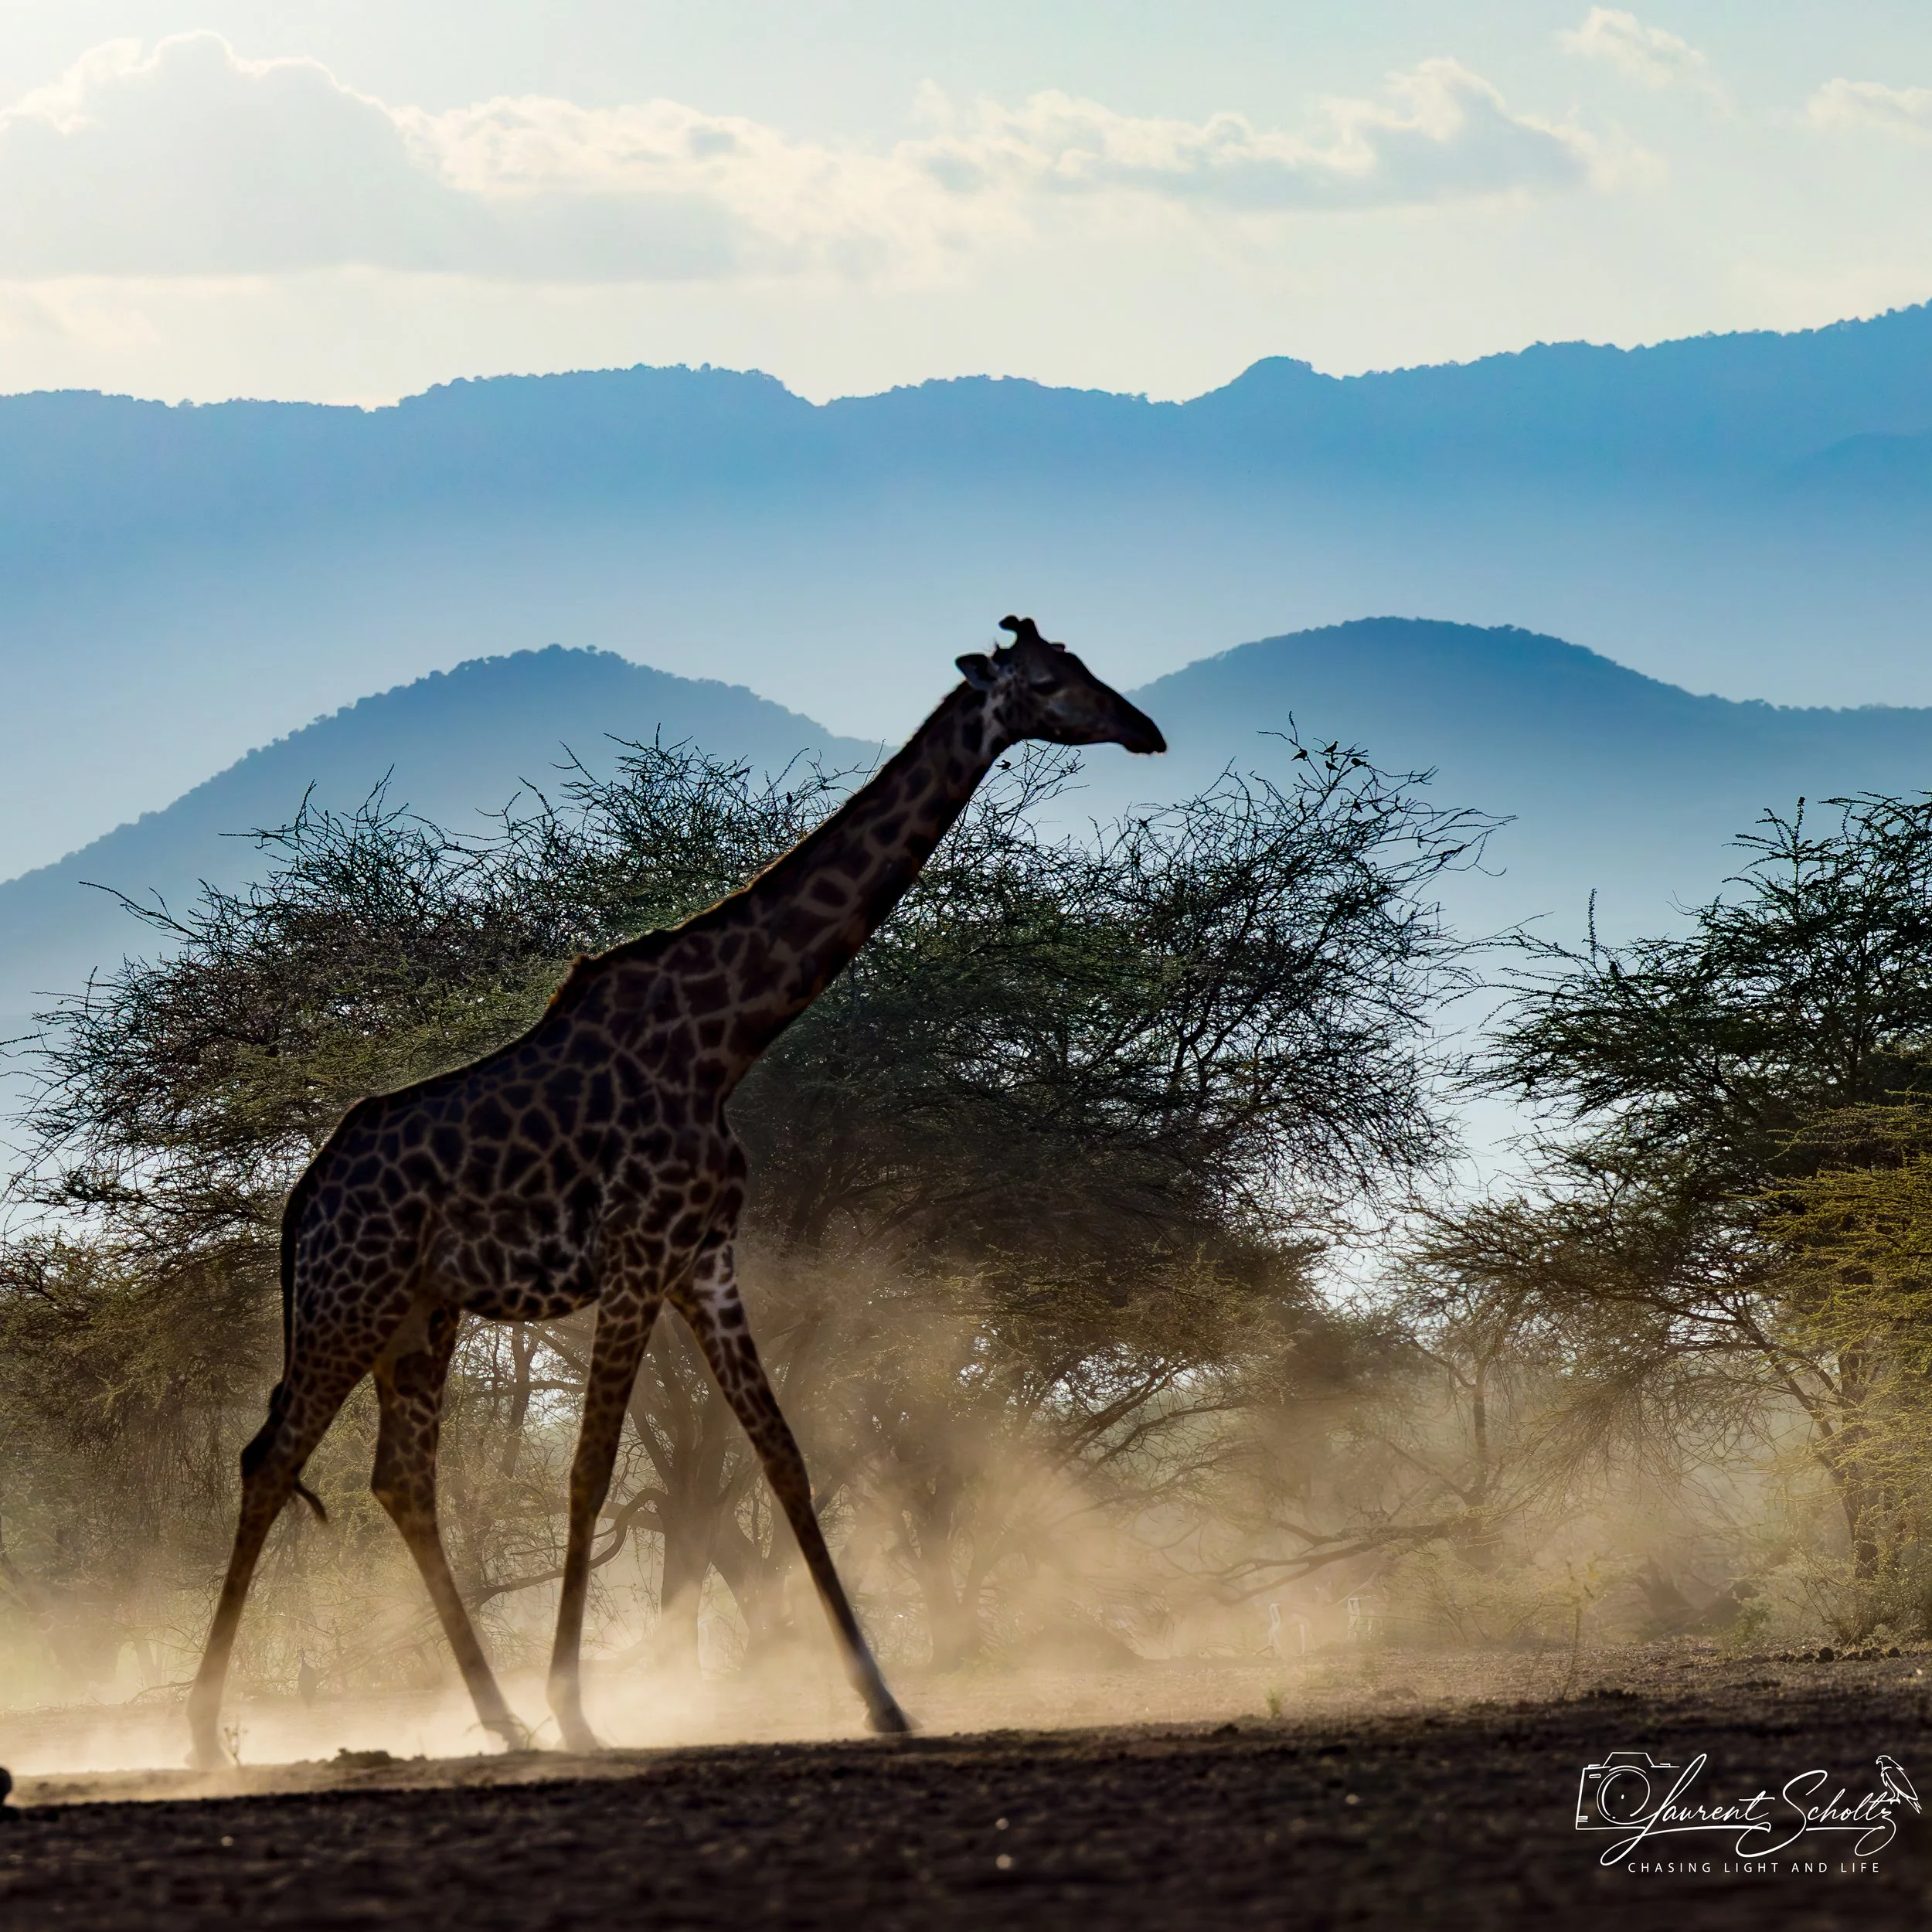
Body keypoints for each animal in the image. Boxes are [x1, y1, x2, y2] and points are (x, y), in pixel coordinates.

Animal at [185, 616, 1166, 1768]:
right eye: (1052, 682)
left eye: (1088, 666)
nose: (1145, 730)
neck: (724, 1040)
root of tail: (303, 1198)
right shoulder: (638, 1253)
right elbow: (591, 1470)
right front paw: (580, 1706)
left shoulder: (706, 1259)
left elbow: (785, 1457)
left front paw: (882, 1700)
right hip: (354, 1298)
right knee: (269, 1458)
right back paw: (205, 1732)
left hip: (420, 1315)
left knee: (400, 1479)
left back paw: (500, 1718)